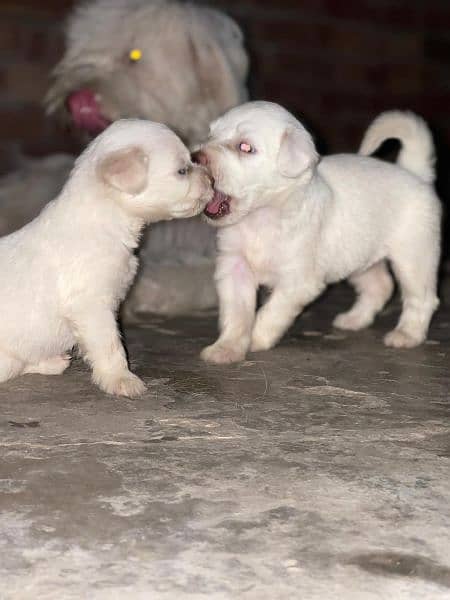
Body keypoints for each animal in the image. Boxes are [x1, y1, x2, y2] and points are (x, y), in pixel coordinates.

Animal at [0, 119, 212, 396]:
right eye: (182, 171)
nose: (211, 179)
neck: (106, 220)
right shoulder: (92, 306)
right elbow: (111, 345)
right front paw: (121, 379)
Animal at [196, 101, 440, 364]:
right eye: (210, 135)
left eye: (245, 147)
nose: (195, 156)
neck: (259, 218)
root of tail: (415, 174)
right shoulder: (234, 268)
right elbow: (237, 314)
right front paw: (226, 348)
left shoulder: (299, 281)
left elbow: (271, 311)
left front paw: (257, 339)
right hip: (358, 260)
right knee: (380, 286)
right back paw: (353, 320)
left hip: (414, 259)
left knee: (422, 299)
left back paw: (407, 334)